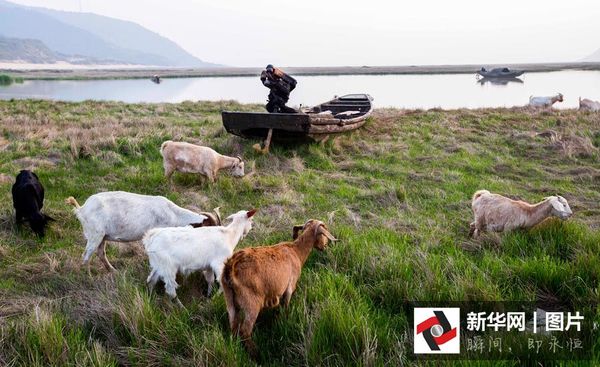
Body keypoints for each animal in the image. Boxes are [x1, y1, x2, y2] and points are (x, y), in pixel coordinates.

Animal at [65, 191, 220, 272]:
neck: (174, 214)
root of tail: (81, 209)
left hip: (102, 236)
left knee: (100, 253)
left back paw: (113, 271)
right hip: (94, 234)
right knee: (86, 256)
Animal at [220, 218, 336, 356]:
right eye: (323, 233)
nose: (325, 246)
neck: (296, 251)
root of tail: (231, 266)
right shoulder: (289, 287)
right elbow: (285, 306)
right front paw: (284, 322)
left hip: (230, 300)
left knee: (233, 326)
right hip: (251, 302)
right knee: (245, 330)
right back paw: (256, 353)